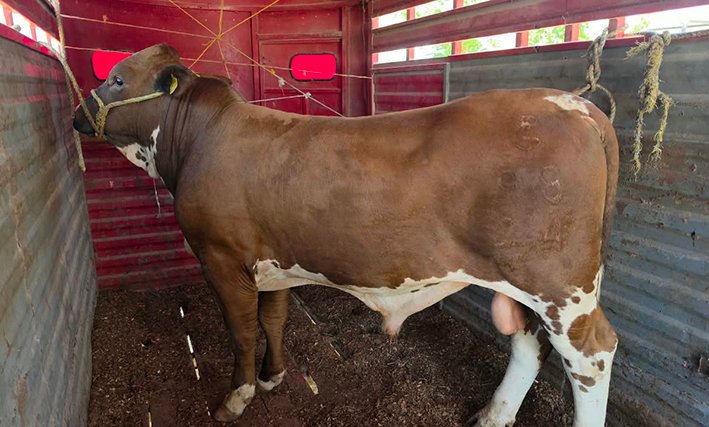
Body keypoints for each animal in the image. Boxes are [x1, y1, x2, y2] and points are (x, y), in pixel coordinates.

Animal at [74, 44, 619, 427]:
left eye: (117, 78)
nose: (78, 114)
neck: (195, 139)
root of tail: (575, 105)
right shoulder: (277, 262)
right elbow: (274, 319)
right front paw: (273, 377)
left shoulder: (221, 257)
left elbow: (242, 329)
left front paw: (237, 397)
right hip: (530, 285)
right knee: (528, 344)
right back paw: (492, 414)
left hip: (560, 286)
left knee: (593, 355)